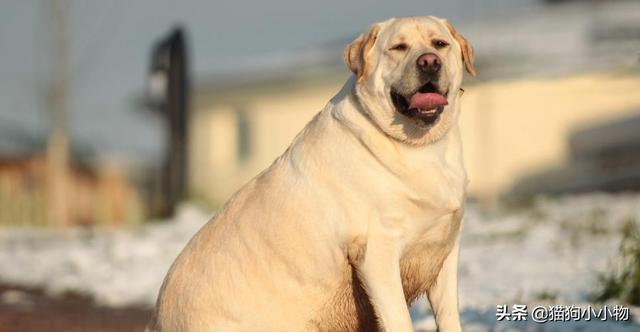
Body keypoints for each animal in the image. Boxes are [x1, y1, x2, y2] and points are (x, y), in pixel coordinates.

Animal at [148, 15, 472, 332]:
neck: (418, 146)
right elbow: (399, 319)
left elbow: (449, 315)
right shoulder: (376, 252)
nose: (429, 62)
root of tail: (155, 321)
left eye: (439, 44)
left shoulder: (445, 248)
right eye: (399, 47)